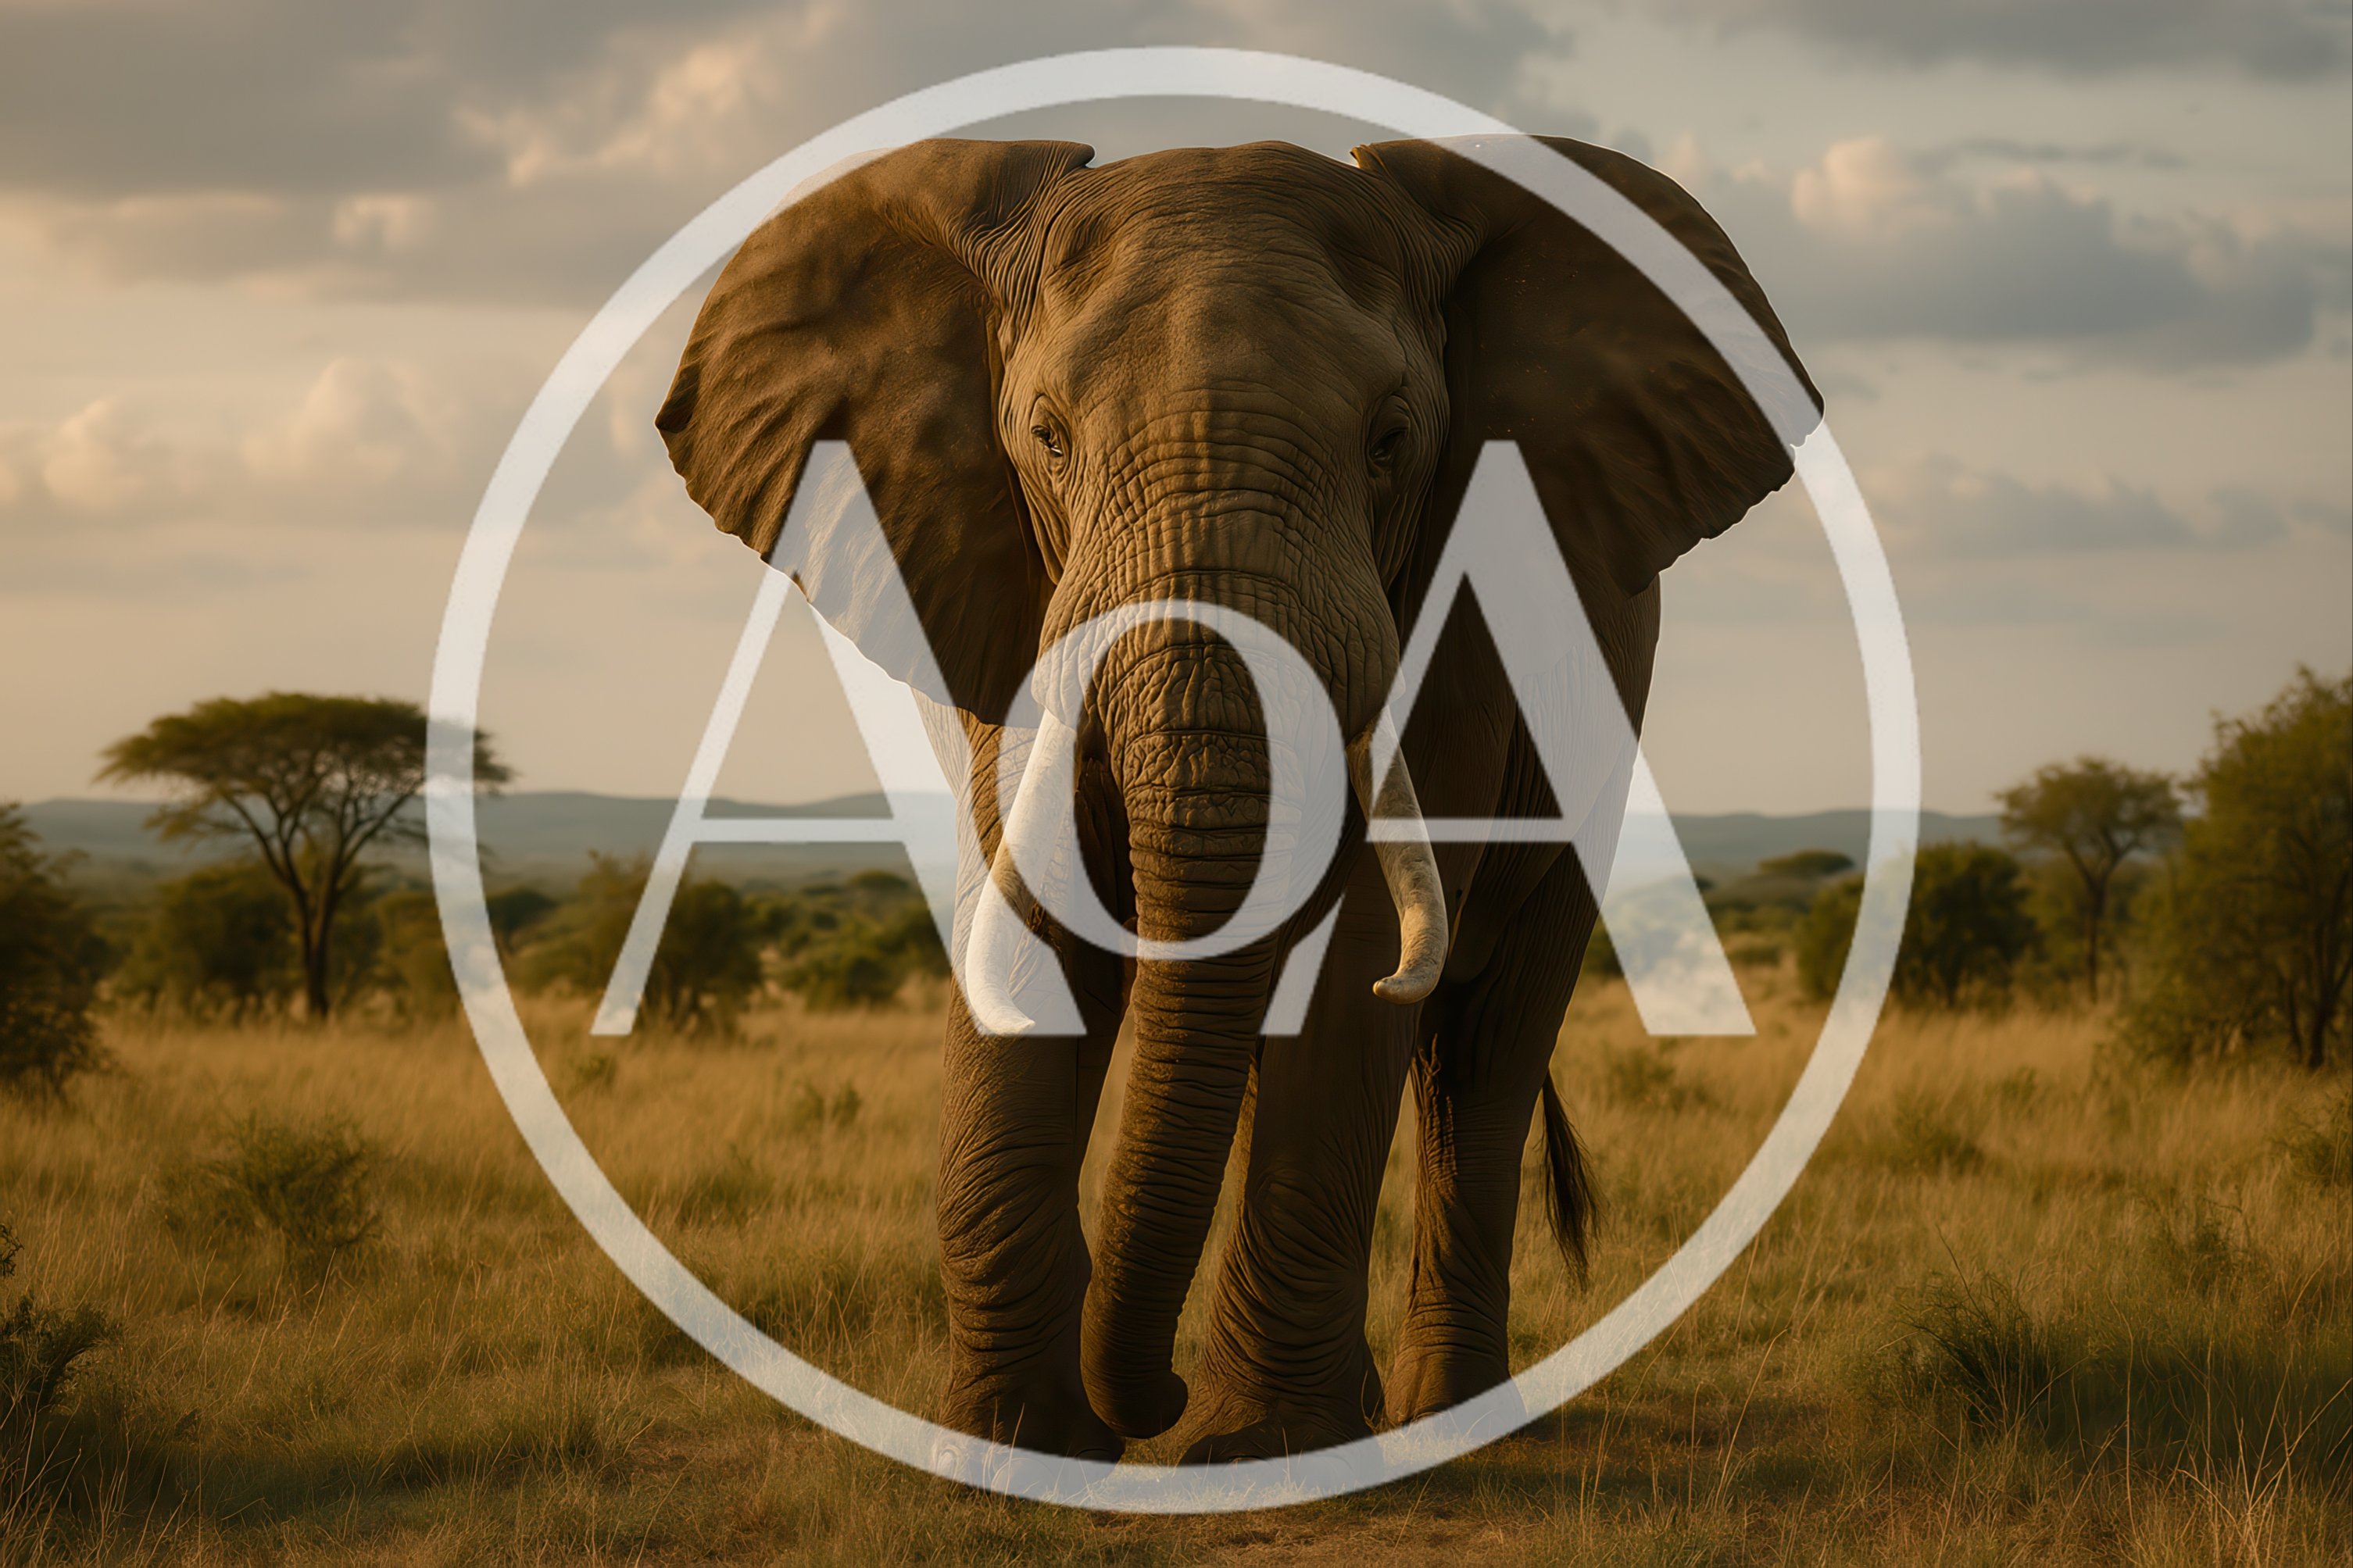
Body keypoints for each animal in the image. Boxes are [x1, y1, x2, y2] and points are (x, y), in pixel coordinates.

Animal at [655, 133, 1815, 1464]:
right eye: (1046, 436)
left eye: (1389, 439)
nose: (1140, 1404)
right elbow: (1031, 919)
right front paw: (1007, 1448)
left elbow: (1353, 944)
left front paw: (1246, 1449)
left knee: (1485, 1049)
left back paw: (1435, 1420)